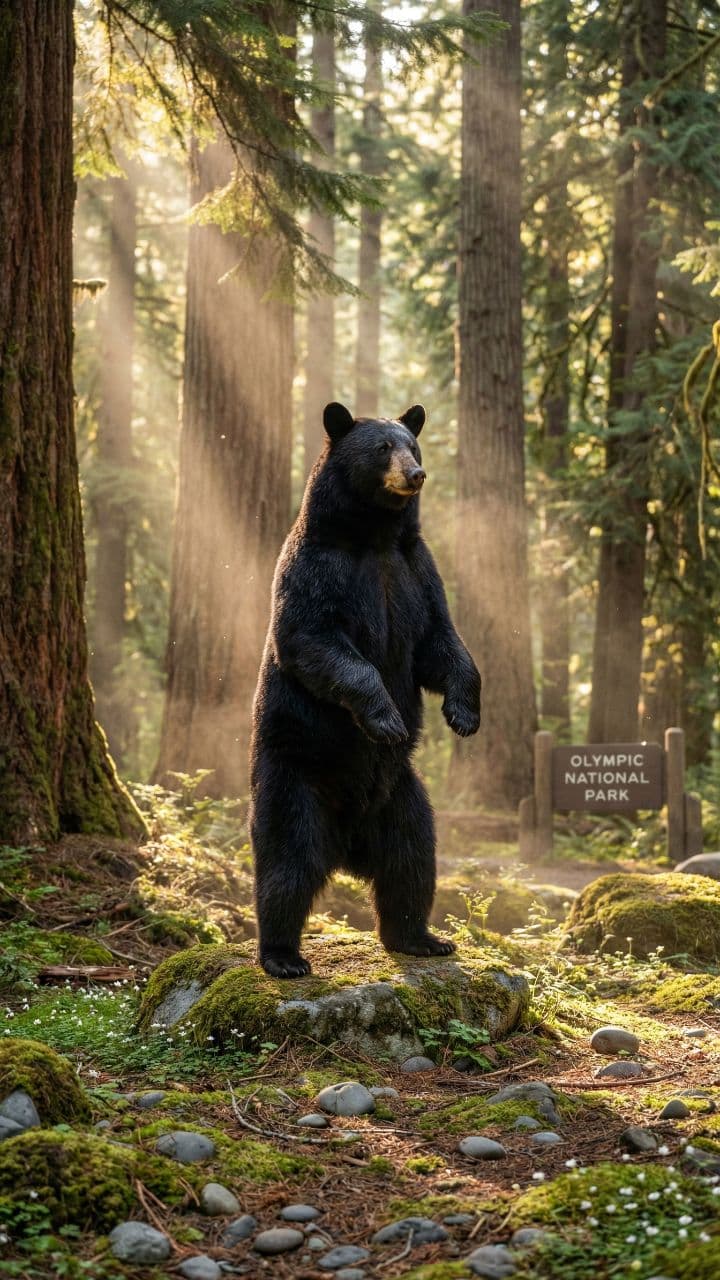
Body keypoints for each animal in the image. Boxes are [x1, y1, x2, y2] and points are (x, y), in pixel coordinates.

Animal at [250, 401, 481, 978]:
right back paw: (283, 955)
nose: (416, 474)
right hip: (294, 777)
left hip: (402, 796)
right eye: (381, 448)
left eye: (413, 445)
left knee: (413, 860)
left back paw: (421, 937)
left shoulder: (415, 571)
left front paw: (465, 714)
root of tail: (348, 844)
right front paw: (387, 719)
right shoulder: (316, 570)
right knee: (287, 864)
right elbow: (314, 639)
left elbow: (440, 642)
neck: (373, 537)